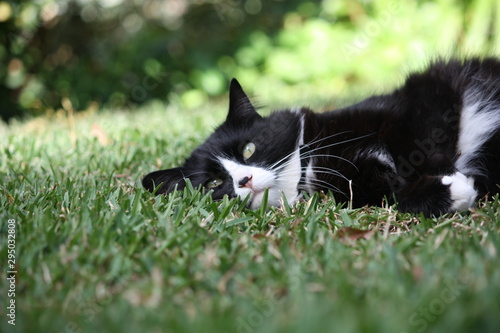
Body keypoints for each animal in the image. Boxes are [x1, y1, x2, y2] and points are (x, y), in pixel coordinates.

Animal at [143, 57, 500, 215]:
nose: (244, 180)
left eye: (248, 149)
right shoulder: (353, 186)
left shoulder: (414, 103)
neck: (311, 164)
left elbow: (420, 143)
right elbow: (389, 193)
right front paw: (446, 193)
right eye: (214, 184)